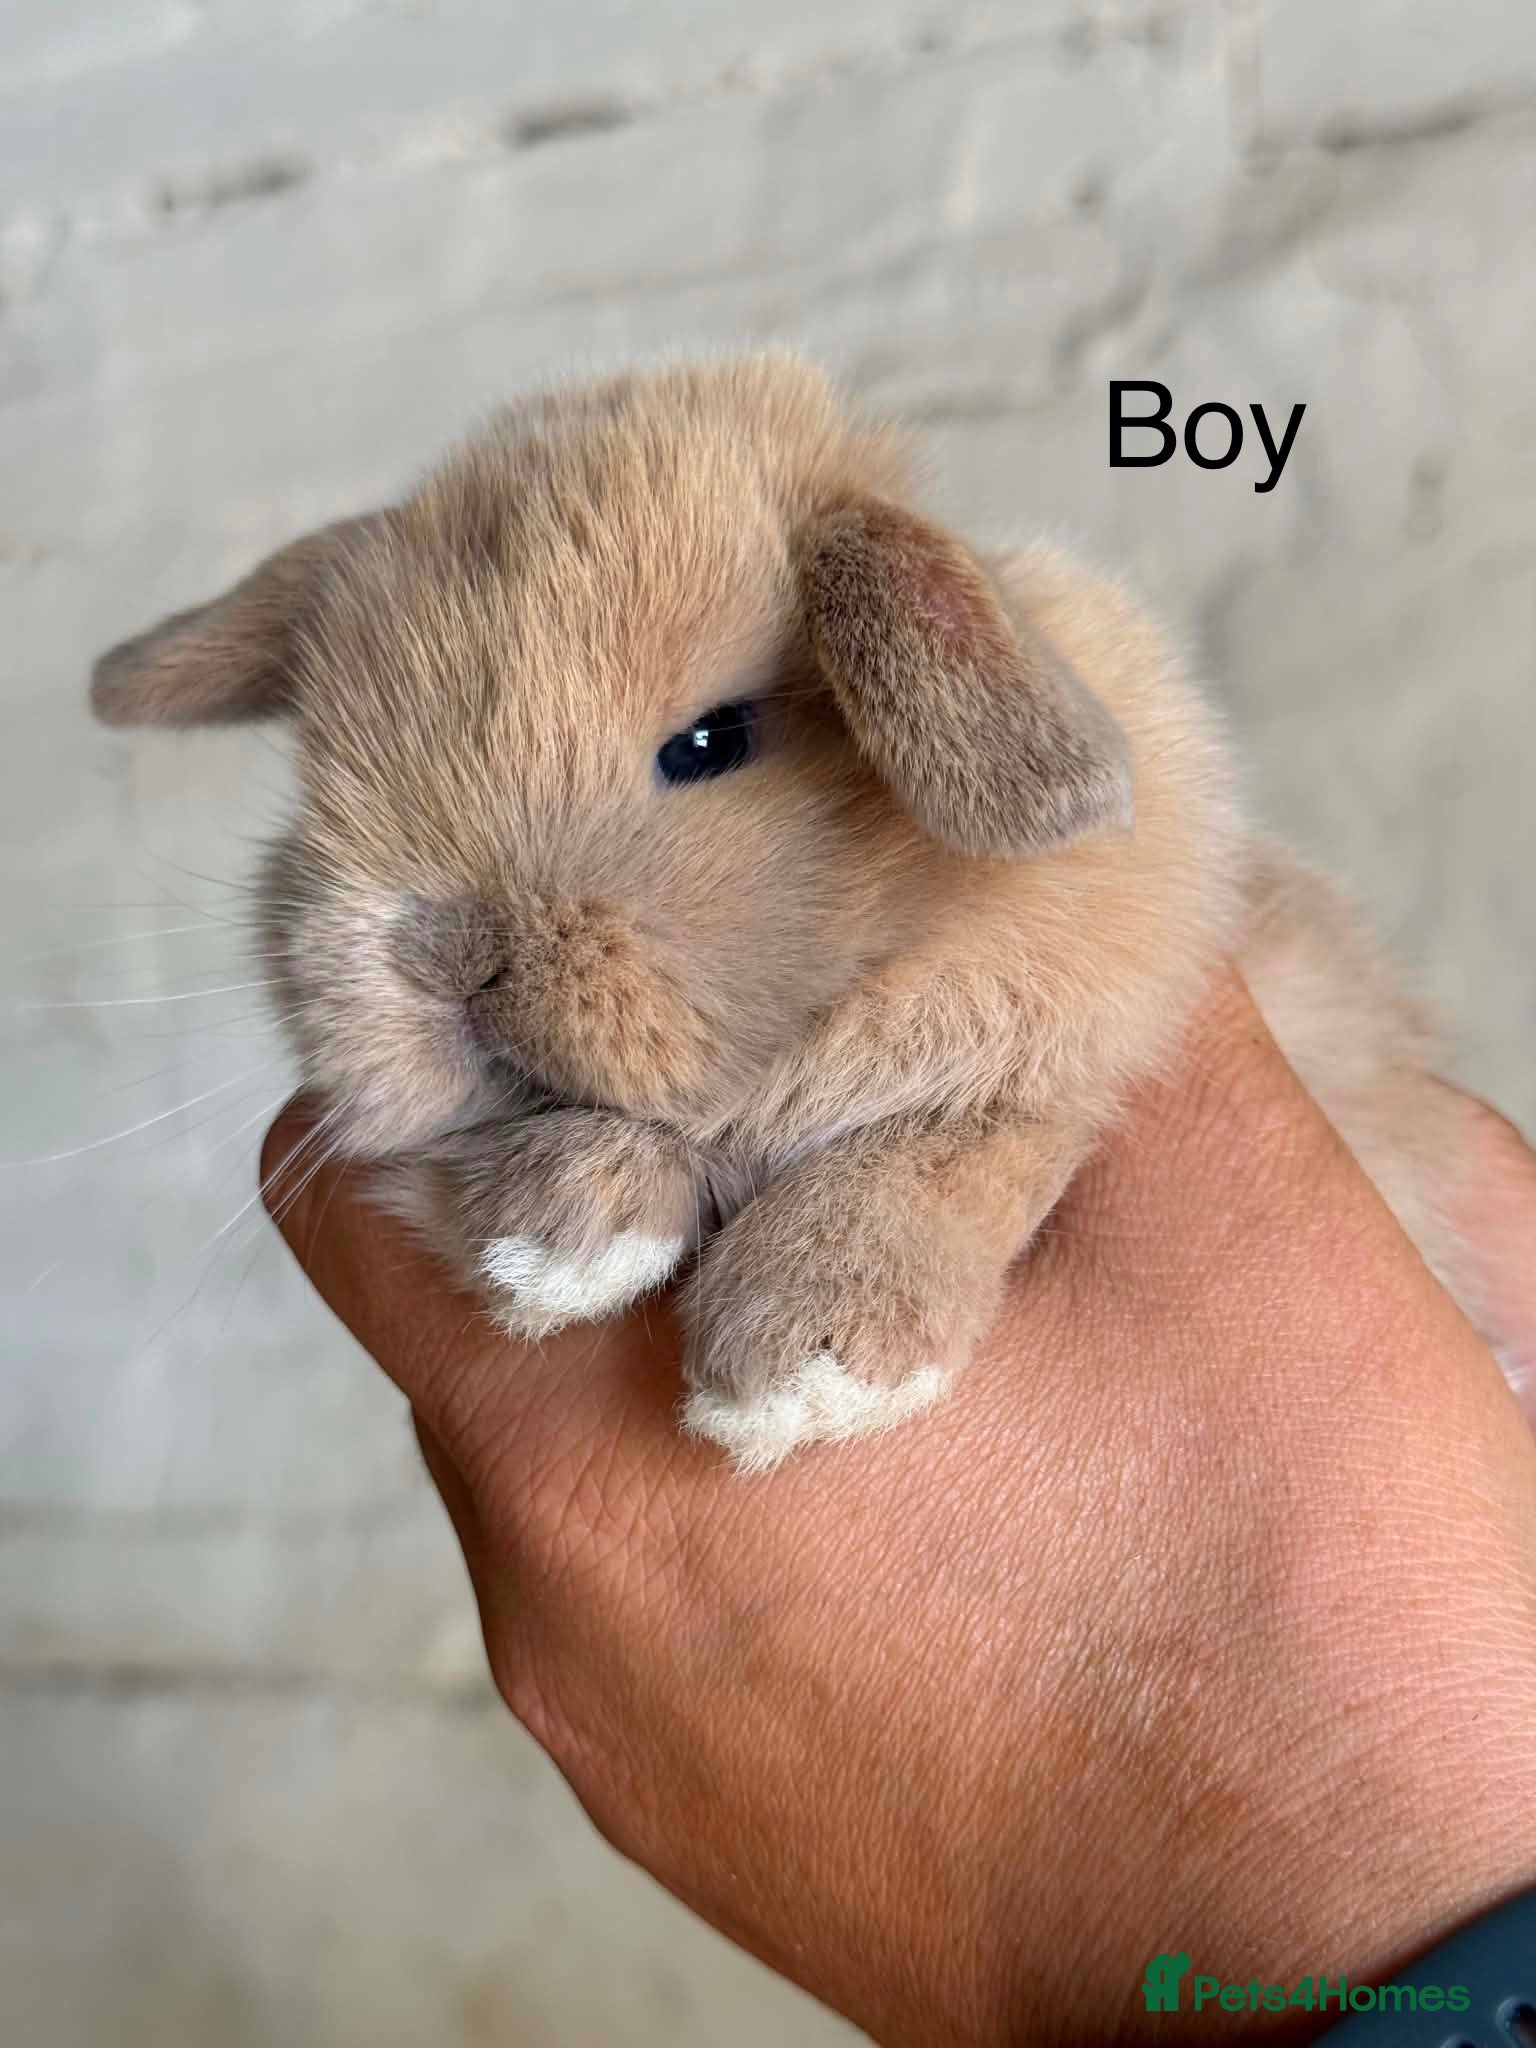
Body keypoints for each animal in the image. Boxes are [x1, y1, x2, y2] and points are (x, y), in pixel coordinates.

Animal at [89, 352, 1527, 1468]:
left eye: (712, 741)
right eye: (324, 769)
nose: (438, 953)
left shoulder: (1079, 1044)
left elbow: (956, 1143)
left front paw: (802, 1363)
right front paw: (557, 1227)